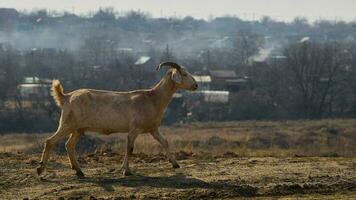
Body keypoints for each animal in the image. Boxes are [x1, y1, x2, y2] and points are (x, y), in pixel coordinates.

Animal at [36, 61, 197, 177]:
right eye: (183, 73)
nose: (196, 85)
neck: (152, 98)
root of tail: (66, 97)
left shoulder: (152, 129)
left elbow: (165, 142)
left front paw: (175, 164)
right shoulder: (134, 130)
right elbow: (129, 149)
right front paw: (126, 171)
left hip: (78, 129)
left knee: (69, 145)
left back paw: (79, 171)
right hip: (67, 124)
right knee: (50, 141)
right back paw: (40, 169)